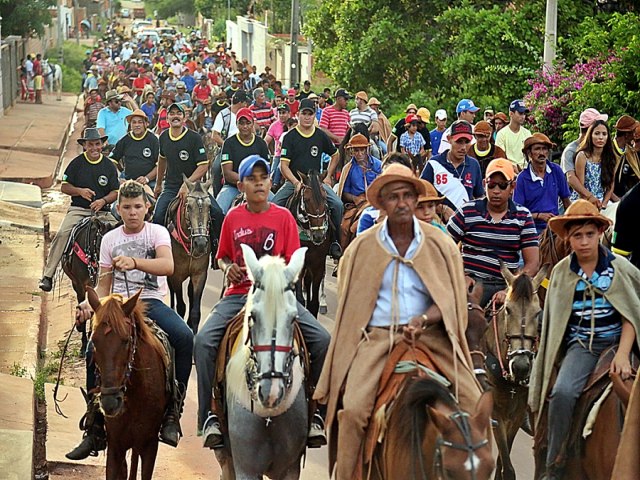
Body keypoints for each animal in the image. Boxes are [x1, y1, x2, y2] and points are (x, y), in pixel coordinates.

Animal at [288, 171, 330, 316]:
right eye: (306, 200)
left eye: (325, 198)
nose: (318, 236)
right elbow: (300, 300)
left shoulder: (318, 264)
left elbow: (314, 303)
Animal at [484, 262, 544, 480]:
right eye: (508, 309)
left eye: (538, 312)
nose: (520, 366)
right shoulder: (496, 414)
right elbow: (508, 467)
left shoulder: (516, 415)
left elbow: (503, 460)